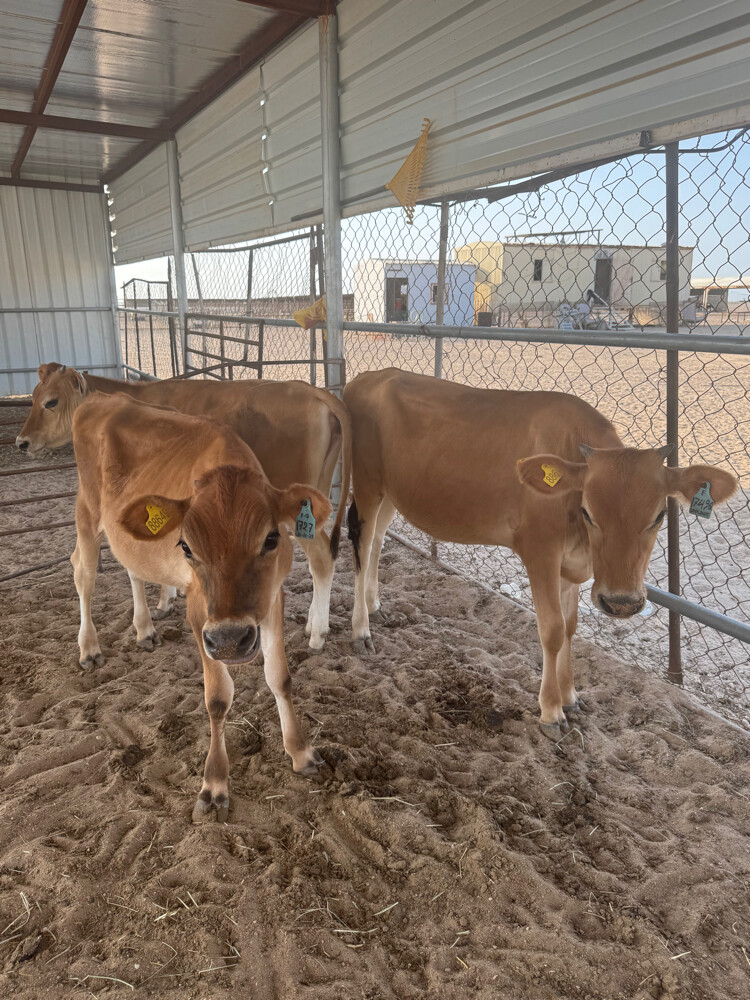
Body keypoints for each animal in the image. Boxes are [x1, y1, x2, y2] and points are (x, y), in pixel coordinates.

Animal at [17, 363, 351, 651]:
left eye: (50, 401)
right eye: (32, 396)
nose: (22, 442)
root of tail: (310, 389)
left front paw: (163, 602)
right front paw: (166, 599)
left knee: (321, 559)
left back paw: (318, 635)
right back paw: (312, 624)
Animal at [72, 392, 331, 820]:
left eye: (271, 538)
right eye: (186, 546)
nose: (228, 639)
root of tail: (102, 397)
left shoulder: (272, 598)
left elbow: (280, 677)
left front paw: (300, 751)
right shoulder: (199, 611)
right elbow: (218, 698)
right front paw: (215, 781)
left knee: (132, 567)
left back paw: (144, 629)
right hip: (86, 512)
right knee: (82, 571)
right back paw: (89, 647)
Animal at [344, 369, 738, 739]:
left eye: (659, 516)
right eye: (588, 511)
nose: (621, 603)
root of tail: (368, 377)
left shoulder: (570, 564)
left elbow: (571, 626)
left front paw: (571, 696)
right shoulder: (540, 552)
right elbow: (552, 629)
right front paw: (551, 712)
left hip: (392, 491)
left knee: (377, 541)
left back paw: (375, 606)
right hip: (366, 481)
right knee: (361, 544)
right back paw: (360, 629)